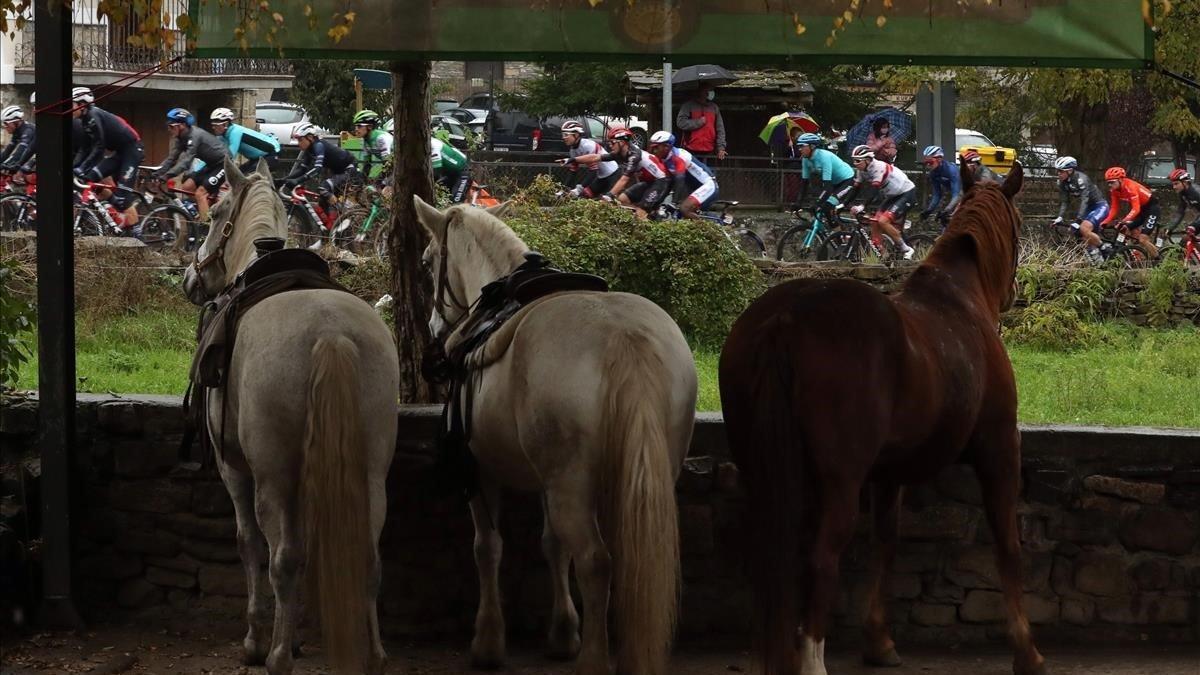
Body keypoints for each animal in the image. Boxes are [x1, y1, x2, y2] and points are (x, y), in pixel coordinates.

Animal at [182, 158, 398, 672]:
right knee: (367, 557)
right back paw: (373, 654)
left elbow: (250, 546)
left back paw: (276, 655)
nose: (190, 279)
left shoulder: (236, 471)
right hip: (371, 472)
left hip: (272, 476)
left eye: (215, 213)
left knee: (281, 556)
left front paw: (259, 638)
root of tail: (331, 334)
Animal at [415, 196, 700, 672]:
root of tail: (626, 340)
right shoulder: (546, 479)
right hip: (640, 473)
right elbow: (552, 545)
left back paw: (594, 659)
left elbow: (488, 547)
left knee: (595, 561)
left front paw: (488, 641)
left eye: (427, 260)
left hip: (571, 481)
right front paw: (563, 631)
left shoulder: (482, 472)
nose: (437, 327)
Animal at [715, 163, 1046, 672]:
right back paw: (812, 656)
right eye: (1020, 223)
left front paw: (878, 639)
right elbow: (1008, 546)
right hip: (841, 477)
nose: (1012, 292)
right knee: (822, 555)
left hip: (762, 461)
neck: (961, 300)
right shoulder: (999, 446)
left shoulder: (889, 472)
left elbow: (884, 544)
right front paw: (1027, 651)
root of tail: (786, 317)